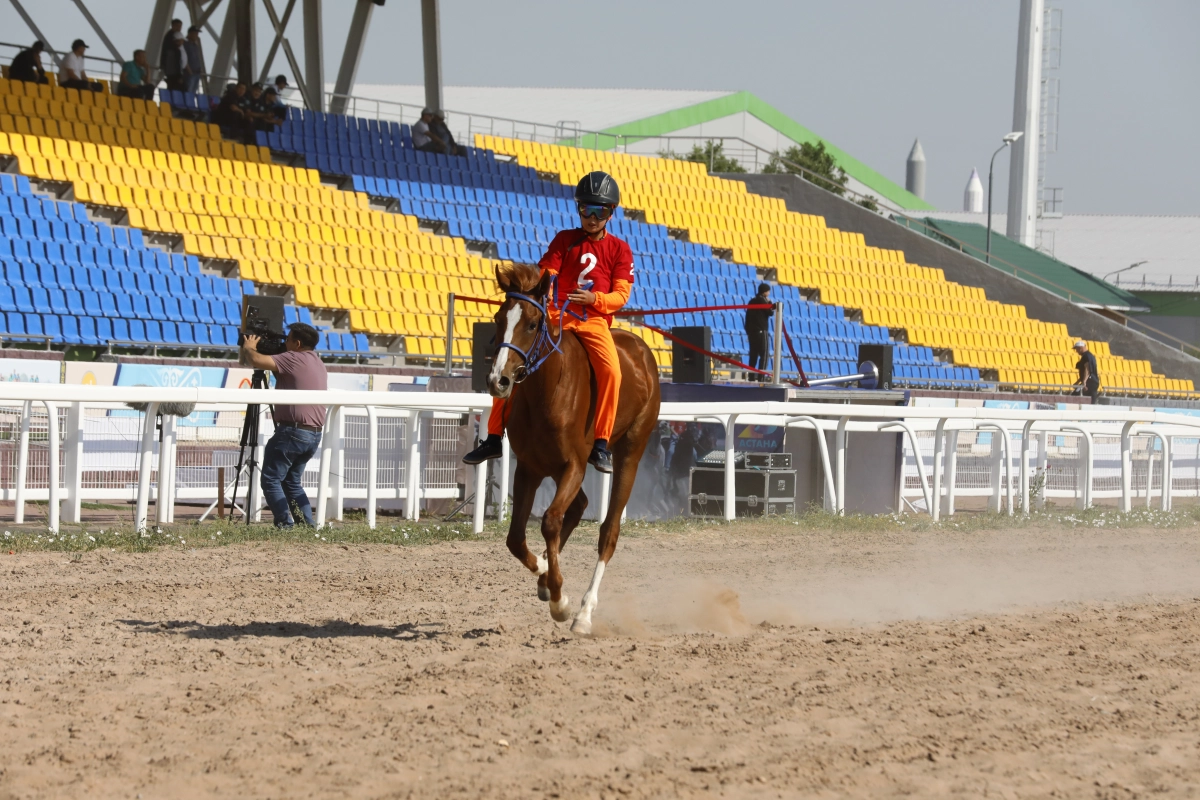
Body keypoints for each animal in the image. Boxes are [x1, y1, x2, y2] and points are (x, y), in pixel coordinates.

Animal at [482, 261, 662, 633]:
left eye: (532, 324)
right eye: (498, 318)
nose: (498, 381)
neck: (547, 391)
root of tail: (640, 349)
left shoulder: (574, 465)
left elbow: (550, 521)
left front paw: (560, 600)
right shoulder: (529, 468)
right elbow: (515, 538)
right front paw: (544, 573)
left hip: (630, 452)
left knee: (608, 530)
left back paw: (584, 612)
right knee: (579, 506)